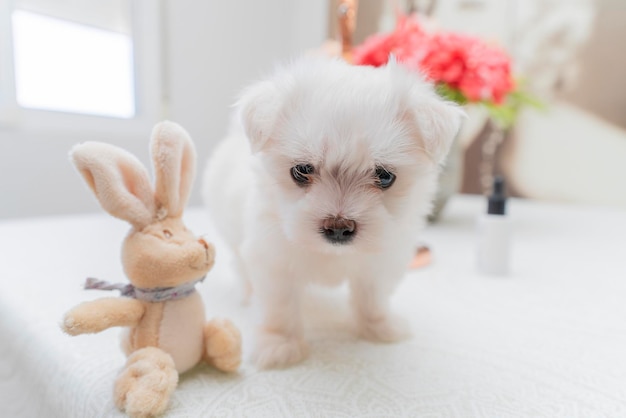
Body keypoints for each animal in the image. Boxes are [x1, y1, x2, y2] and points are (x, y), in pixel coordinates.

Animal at [202, 57, 460, 368]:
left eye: (385, 176)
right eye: (301, 170)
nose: (339, 226)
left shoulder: (381, 260)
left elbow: (372, 296)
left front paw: (378, 326)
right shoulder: (273, 259)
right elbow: (280, 306)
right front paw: (279, 345)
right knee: (240, 263)